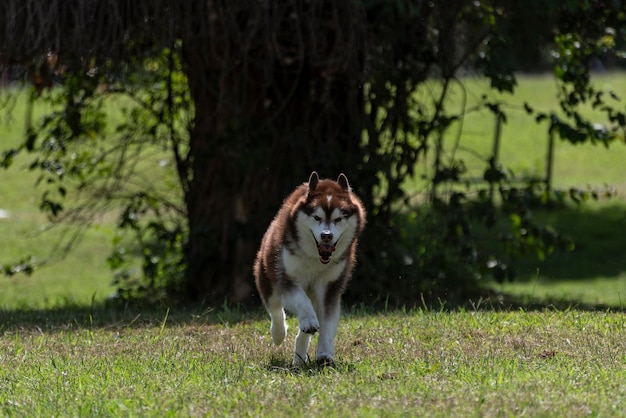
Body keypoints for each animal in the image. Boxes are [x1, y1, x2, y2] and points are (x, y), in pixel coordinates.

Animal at [251, 171, 364, 364]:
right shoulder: (286, 279)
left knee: (306, 325)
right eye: (317, 218)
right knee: (275, 310)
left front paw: (325, 354)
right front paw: (309, 322)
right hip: (266, 275)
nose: (326, 236)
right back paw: (279, 334)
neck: (315, 259)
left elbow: (327, 323)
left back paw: (300, 358)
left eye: (338, 219)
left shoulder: (330, 287)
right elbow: (300, 301)